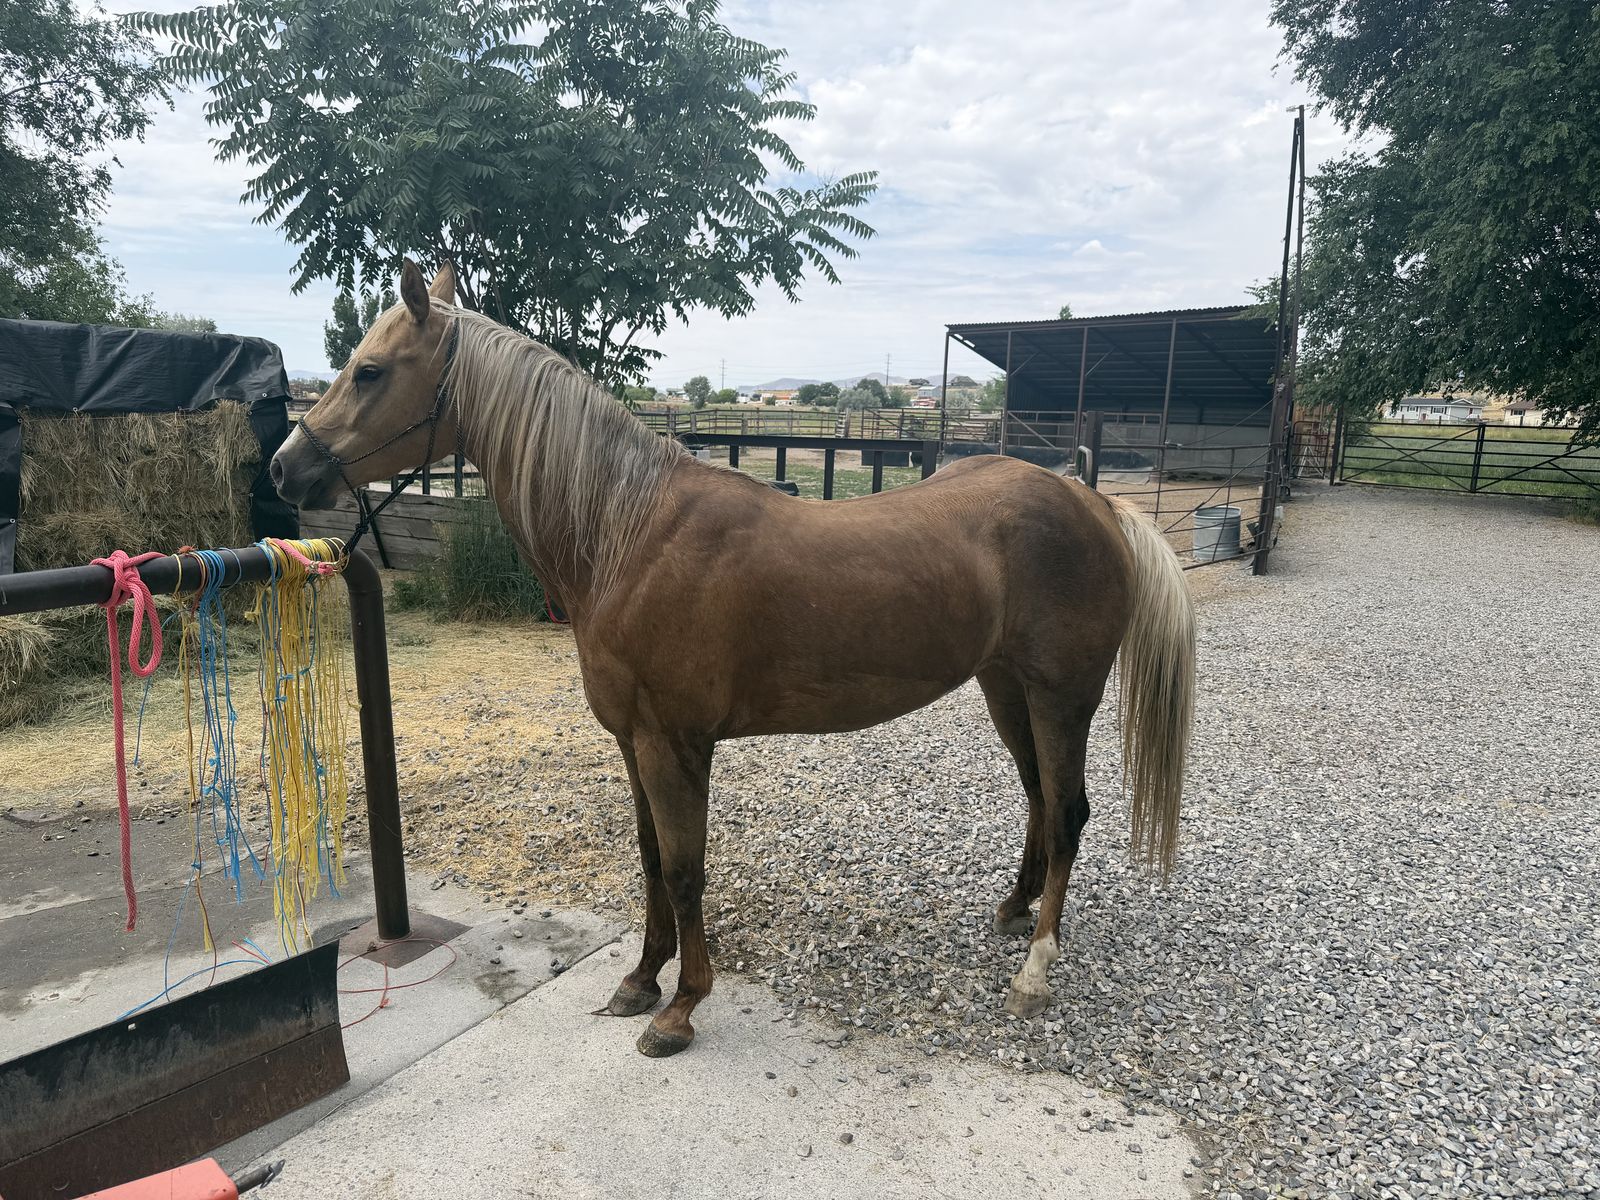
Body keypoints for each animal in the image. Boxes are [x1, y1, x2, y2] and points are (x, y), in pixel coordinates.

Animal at [271, 260, 1196, 1058]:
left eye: (370, 371)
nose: (285, 469)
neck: (629, 532)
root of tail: (1093, 502)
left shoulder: (673, 743)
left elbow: (685, 870)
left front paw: (681, 1007)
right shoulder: (633, 742)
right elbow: (650, 860)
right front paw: (640, 981)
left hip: (1063, 694)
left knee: (1069, 811)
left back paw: (1036, 970)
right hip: (1008, 689)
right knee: (1039, 800)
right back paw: (1013, 910)